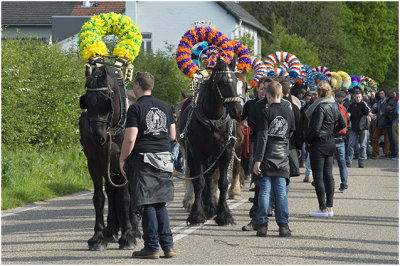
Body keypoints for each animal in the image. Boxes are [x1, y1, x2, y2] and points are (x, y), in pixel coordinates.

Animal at [78, 57, 141, 250]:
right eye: (86, 100)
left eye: (106, 99)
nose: (98, 136)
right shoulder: (94, 164)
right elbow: (99, 198)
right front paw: (98, 237)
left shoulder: (122, 163)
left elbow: (124, 198)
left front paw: (128, 236)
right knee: (111, 191)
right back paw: (112, 229)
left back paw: (134, 229)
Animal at [179, 57, 242, 225]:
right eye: (222, 82)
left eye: (235, 81)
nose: (237, 110)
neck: (212, 119)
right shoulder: (197, 150)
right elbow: (199, 181)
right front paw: (197, 214)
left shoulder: (226, 151)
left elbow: (222, 182)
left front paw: (224, 214)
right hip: (192, 153)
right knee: (196, 175)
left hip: (213, 155)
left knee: (210, 177)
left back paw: (211, 207)